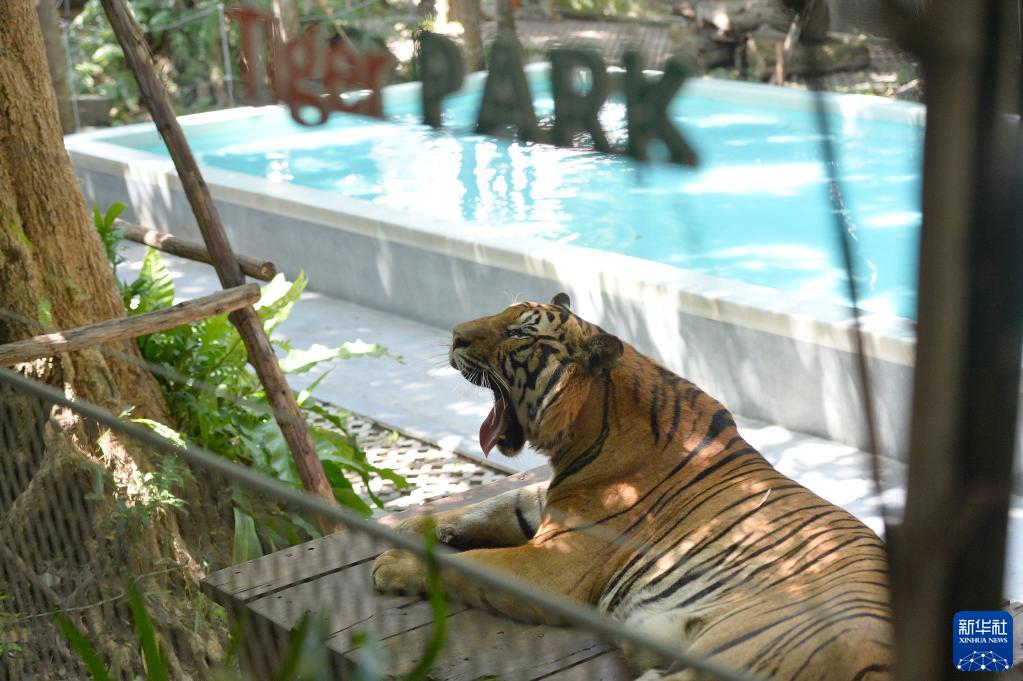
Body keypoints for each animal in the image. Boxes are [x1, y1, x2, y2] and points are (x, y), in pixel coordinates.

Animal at [372, 292, 892, 678]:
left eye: (520, 332)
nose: (455, 335)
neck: (583, 430)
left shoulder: (551, 564)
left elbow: (469, 563)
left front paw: (391, 565)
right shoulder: (544, 500)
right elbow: (486, 506)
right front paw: (411, 528)